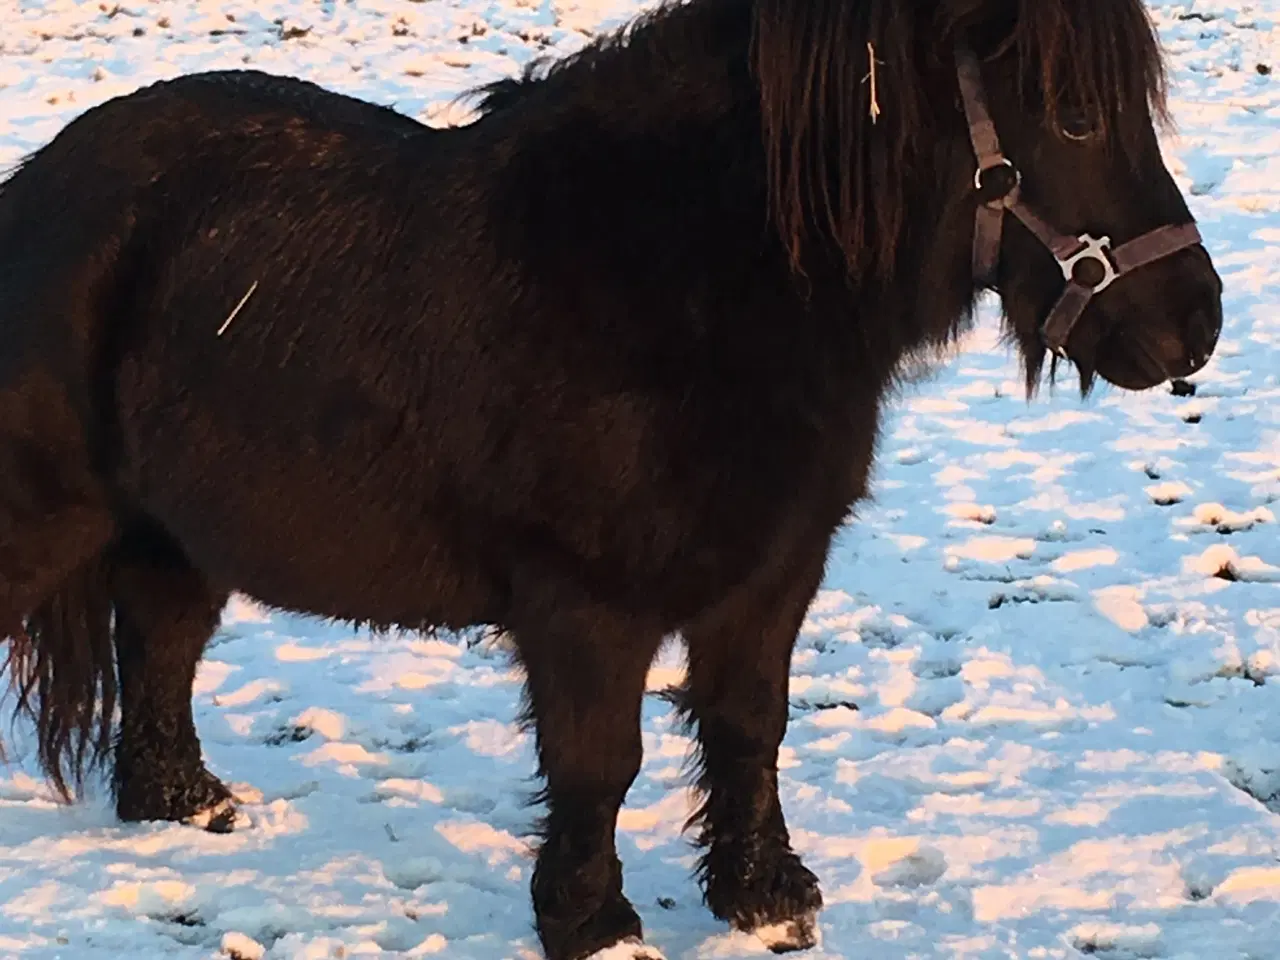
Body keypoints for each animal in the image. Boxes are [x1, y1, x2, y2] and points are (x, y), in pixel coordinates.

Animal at [0, 0, 1218, 957]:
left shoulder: (774, 576)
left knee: (159, 644)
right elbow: (600, 763)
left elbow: (748, 726)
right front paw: (593, 925)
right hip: (47, 520)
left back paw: (187, 806)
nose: (1194, 326)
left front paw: (764, 899)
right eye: (1074, 114)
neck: (685, 279)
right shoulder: (586, 607)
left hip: (174, 533)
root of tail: (41, 187)